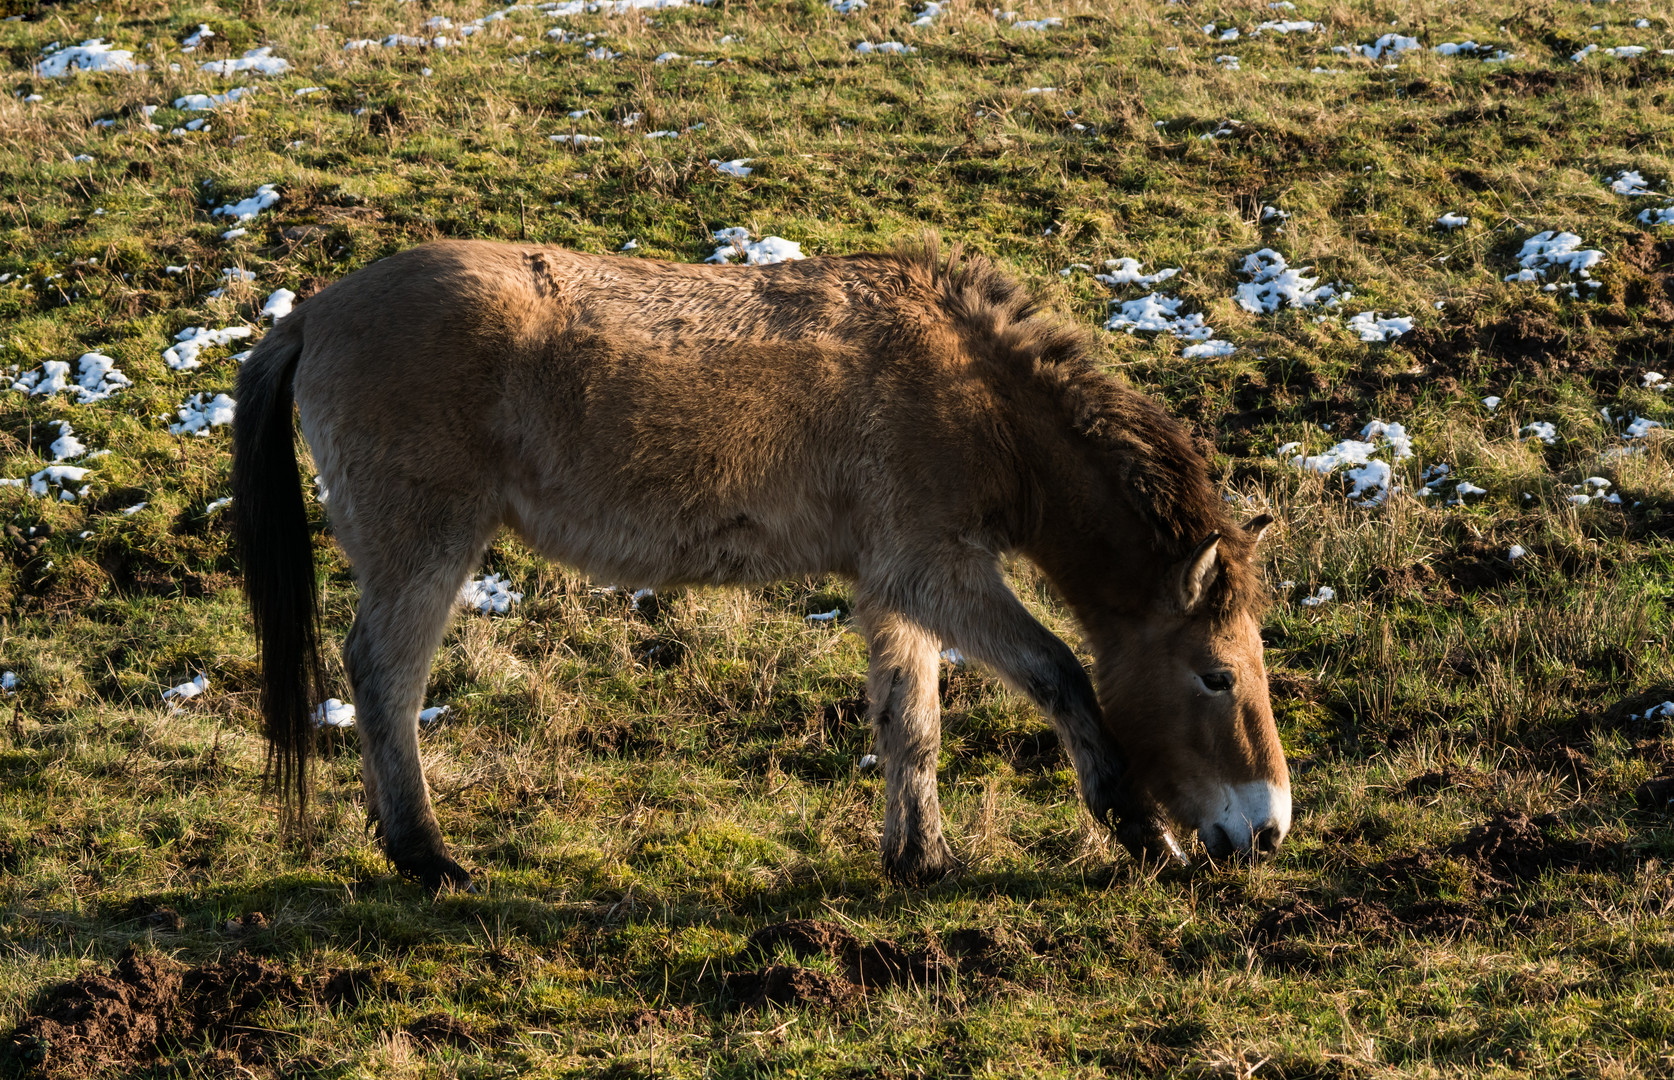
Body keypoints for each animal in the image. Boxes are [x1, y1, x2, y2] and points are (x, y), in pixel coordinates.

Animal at [229, 239, 1285, 890]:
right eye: (1216, 676)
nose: (1268, 828)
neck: (971, 390)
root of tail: (314, 314)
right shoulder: (938, 573)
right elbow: (1061, 674)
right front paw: (1137, 828)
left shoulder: (894, 587)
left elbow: (911, 724)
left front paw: (922, 860)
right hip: (426, 549)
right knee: (385, 677)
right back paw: (425, 855)